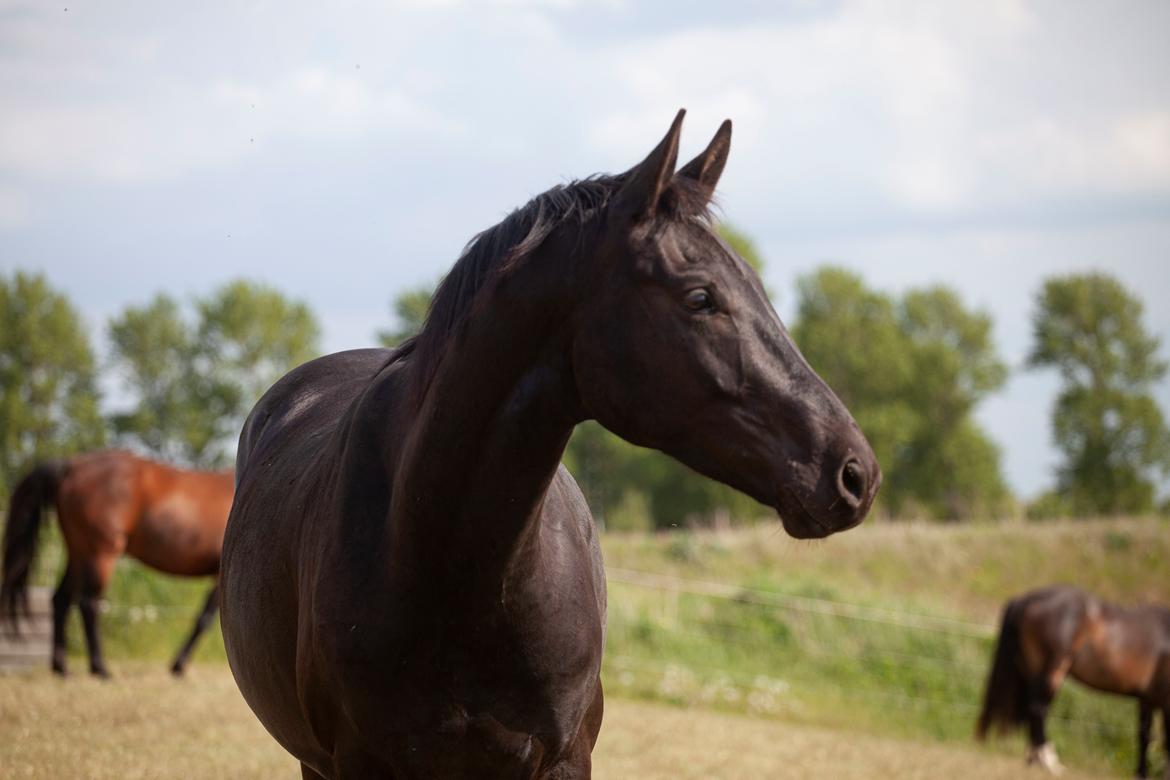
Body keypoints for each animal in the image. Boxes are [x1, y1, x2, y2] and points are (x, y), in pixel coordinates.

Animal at [1, 451, 235, 678]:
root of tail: (73, 466)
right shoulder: (218, 577)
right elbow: (204, 619)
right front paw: (178, 666)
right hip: (100, 554)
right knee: (89, 603)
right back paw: (100, 668)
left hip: (78, 552)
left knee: (61, 599)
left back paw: (62, 668)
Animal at [978, 584, 1170, 776]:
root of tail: (1025, 599)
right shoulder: (1162, 701)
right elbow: (1164, 740)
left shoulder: (1147, 699)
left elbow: (1144, 735)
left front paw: (1141, 773)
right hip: (1053, 670)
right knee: (1038, 708)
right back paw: (1050, 762)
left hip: (1030, 670)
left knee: (1031, 710)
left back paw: (1034, 759)